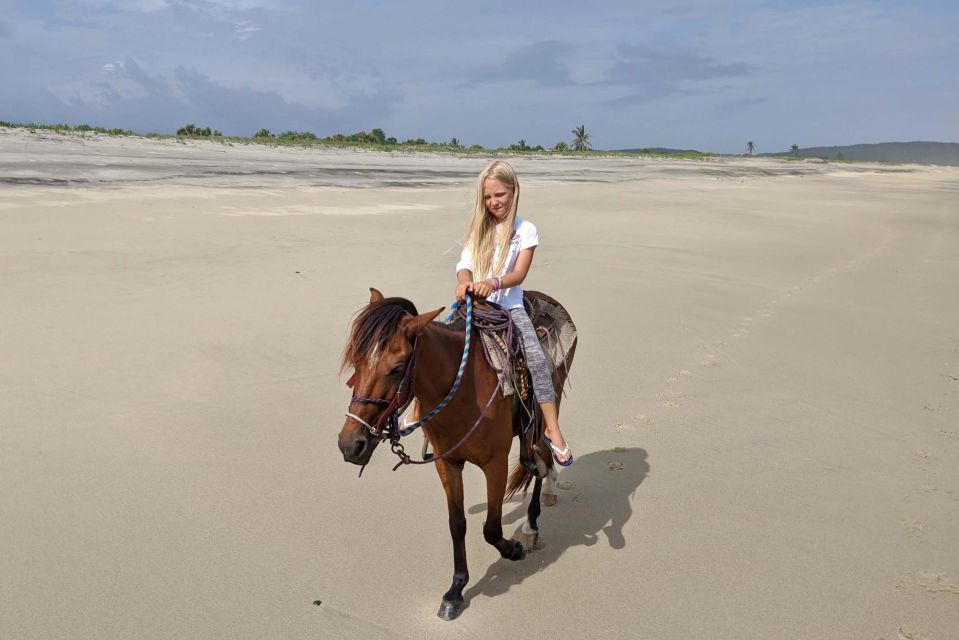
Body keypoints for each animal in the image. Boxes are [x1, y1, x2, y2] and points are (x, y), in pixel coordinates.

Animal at [338, 288, 576, 620]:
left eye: (397, 369)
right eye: (357, 363)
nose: (350, 445)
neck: (462, 390)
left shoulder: (495, 463)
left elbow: (491, 528)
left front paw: (513, 549)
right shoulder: (447, 463)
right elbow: (457, 524)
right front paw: (456, 590)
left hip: (546, 406)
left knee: (540, 457)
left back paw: (531, 525)